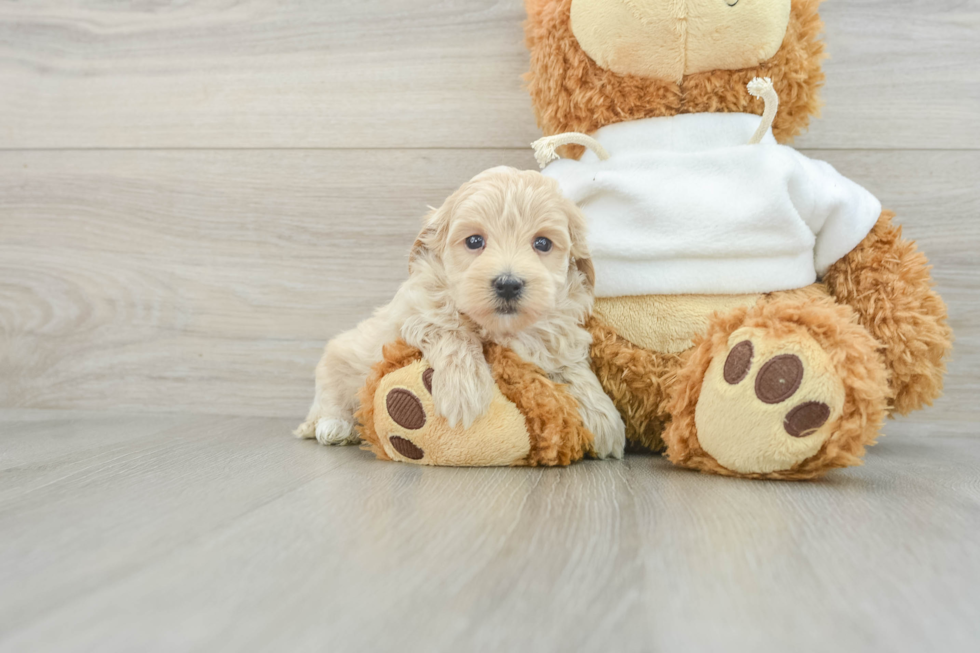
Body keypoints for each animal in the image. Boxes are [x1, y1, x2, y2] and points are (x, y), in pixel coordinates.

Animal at [294, 163, 624, 458]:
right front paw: (464, 392)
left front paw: (605, 419)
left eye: (542, 243)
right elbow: (453, 331)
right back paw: (334, 427)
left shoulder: (557, 331)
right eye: (474, 241)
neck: (501, 328)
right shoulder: (418, 312)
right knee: (328, 400)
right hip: (337, 361)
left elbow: (572, 365)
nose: (508, 284)